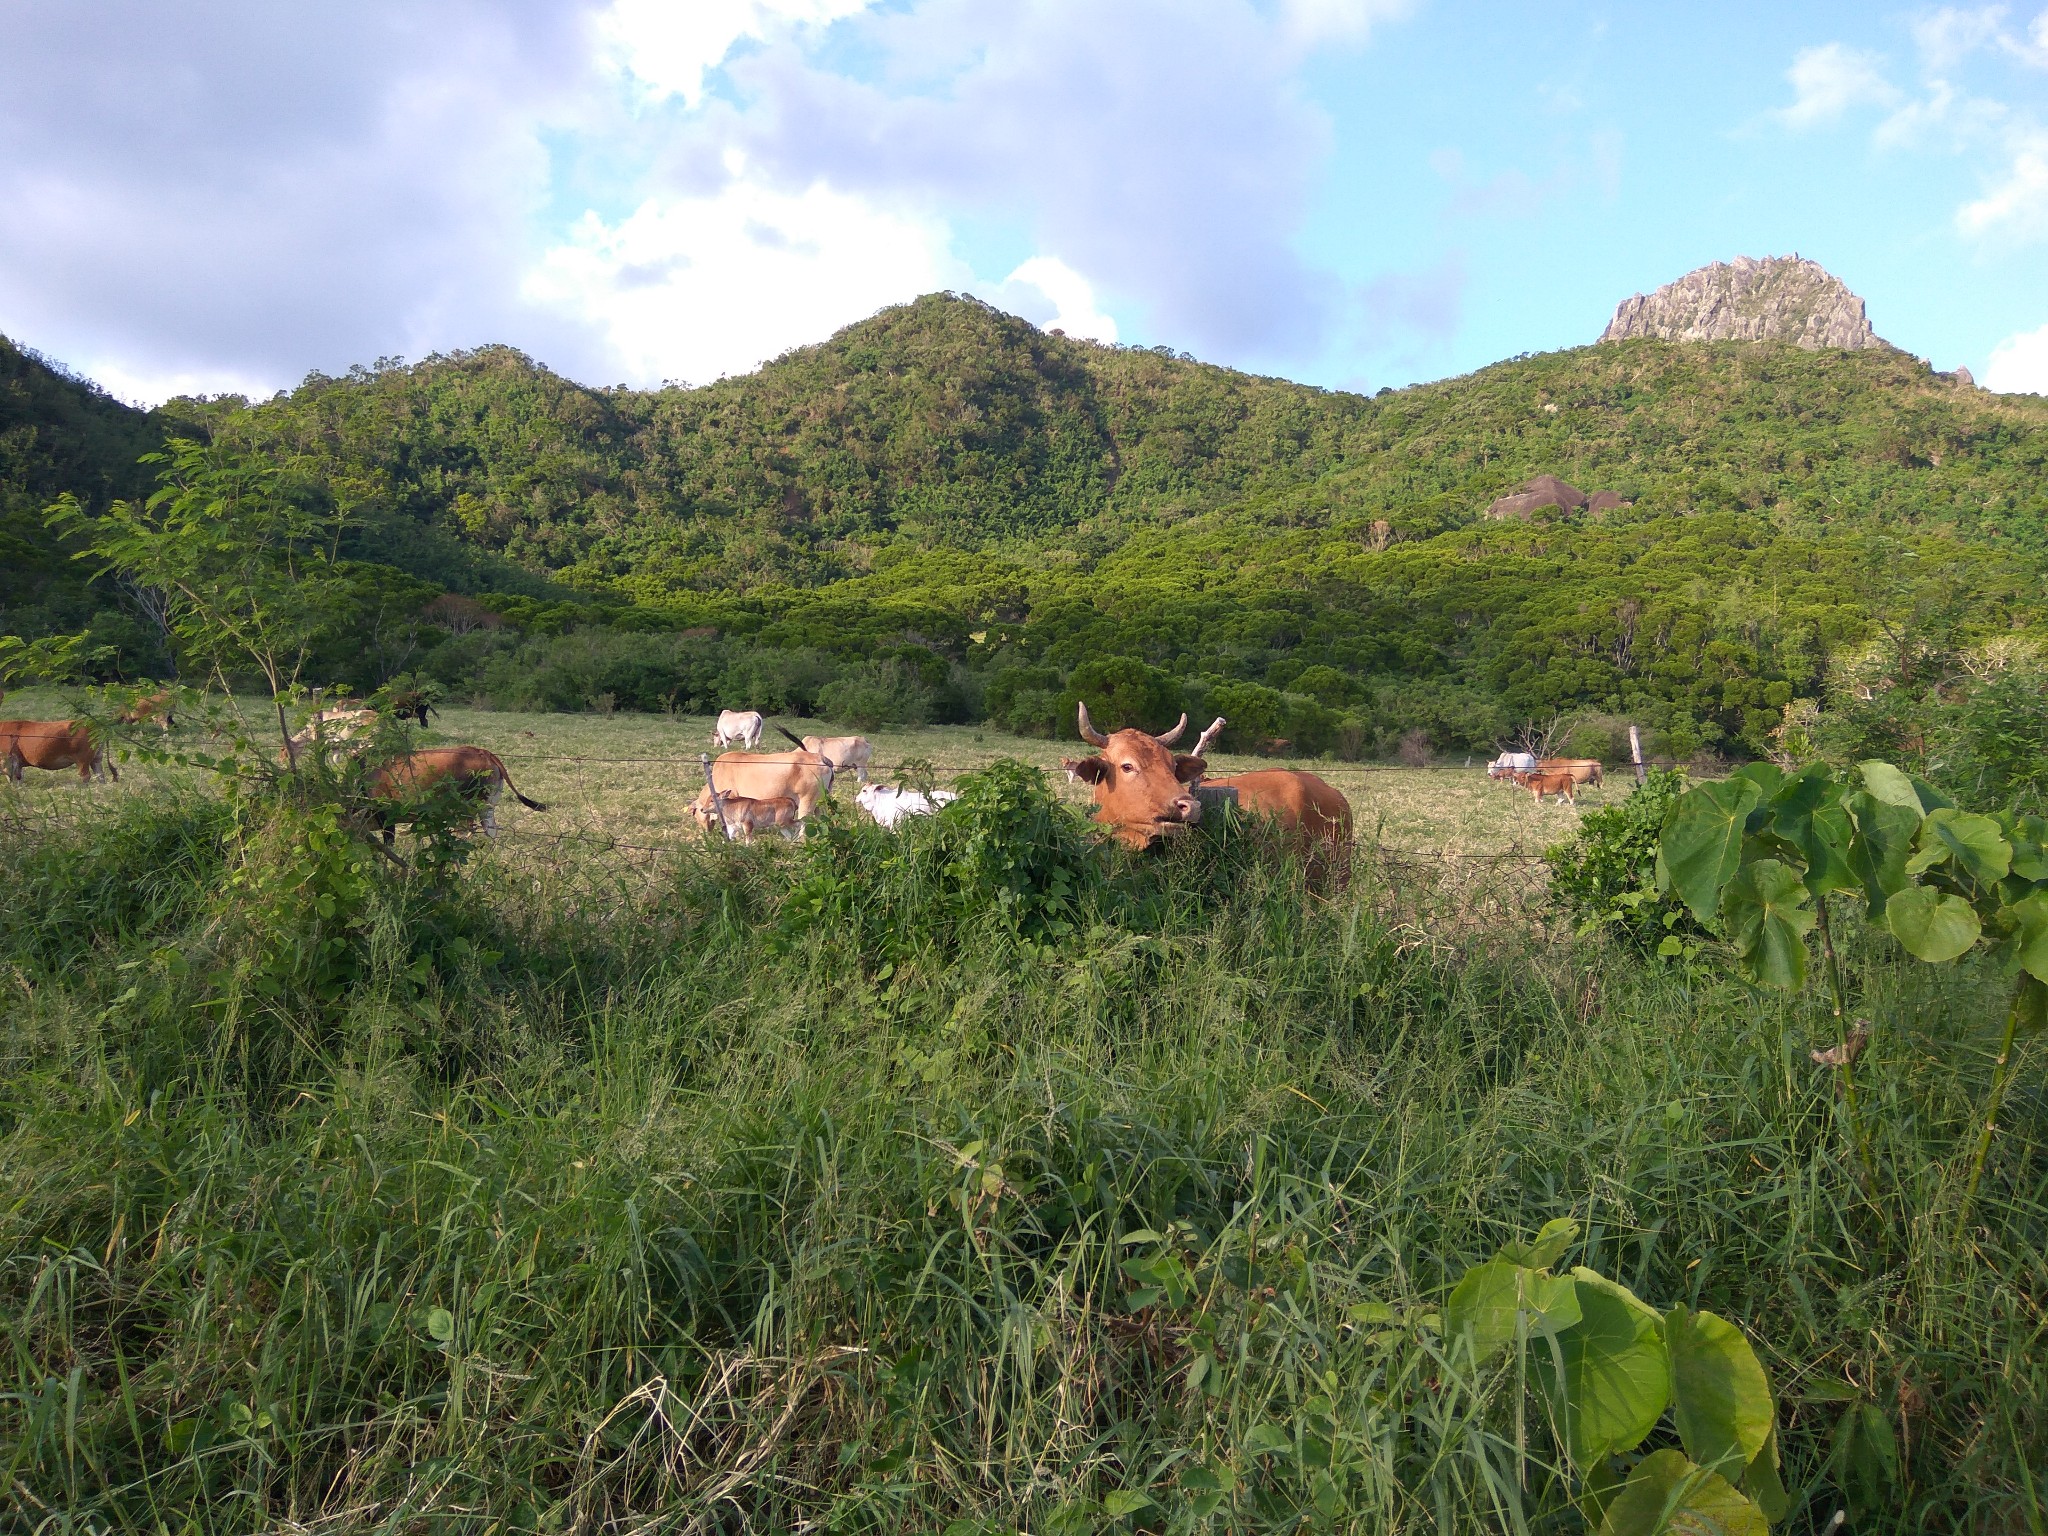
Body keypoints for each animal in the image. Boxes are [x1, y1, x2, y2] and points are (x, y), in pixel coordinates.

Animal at [368, 741, 544, 843]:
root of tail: (481, 751)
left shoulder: (385, 816)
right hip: (487, 804)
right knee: (490, 829)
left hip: (465, 805)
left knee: (467, 831)